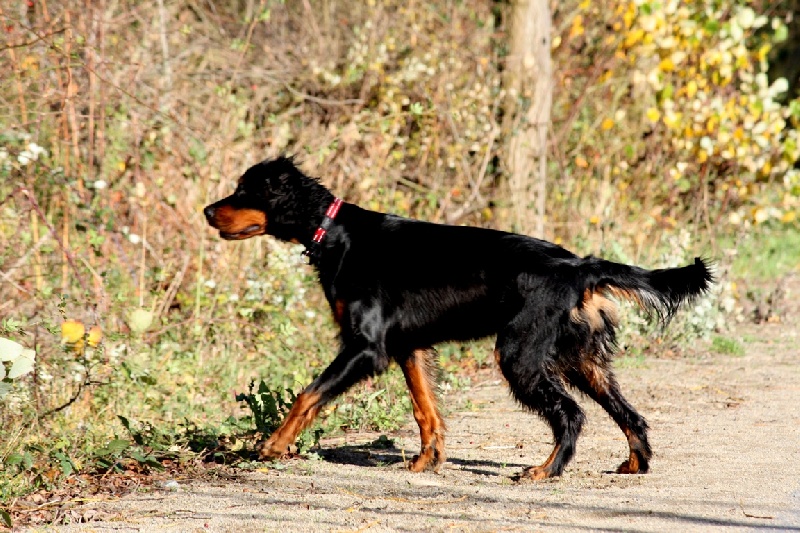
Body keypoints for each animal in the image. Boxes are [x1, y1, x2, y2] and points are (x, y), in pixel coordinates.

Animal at [202, 157, 712, 478]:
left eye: (246, 190)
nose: (207, 211)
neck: (336, 234)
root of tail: (577, 266)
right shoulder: (407, 347)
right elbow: (425, 410)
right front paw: (426, 461)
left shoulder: (366, 346)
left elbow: (307, 395)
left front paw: (272, 445)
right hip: (580, 357)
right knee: (629, 414)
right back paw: (635, 463)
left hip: (520, 353)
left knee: (571, 413)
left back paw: (545, 470)